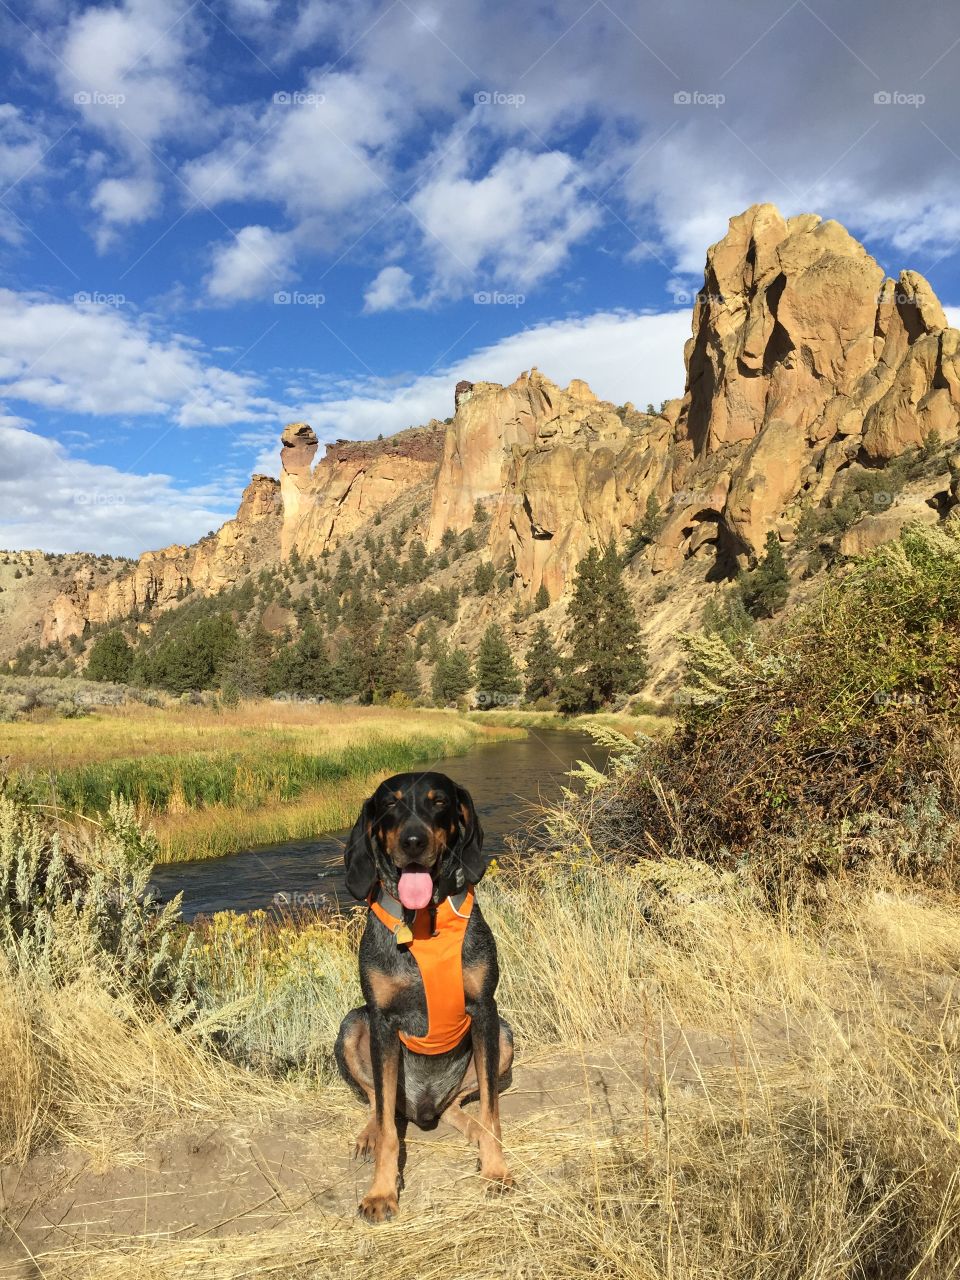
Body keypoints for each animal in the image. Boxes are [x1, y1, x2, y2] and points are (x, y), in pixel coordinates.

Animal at [335, 768, 514, 1218]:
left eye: (439, 801)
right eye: (390, 803)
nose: (412, 842)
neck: (421, 921)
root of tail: (423, 1109)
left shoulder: (485, 1010)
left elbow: (492, 1108)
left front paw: (496, 1169)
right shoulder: (382, 1021)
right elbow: (386, 1126)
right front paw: (381, 1191)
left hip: (504, 1034)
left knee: (460, 1105)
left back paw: (472, 1130)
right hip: (352, 1024)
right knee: (377, 1102)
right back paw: (368, 1133)